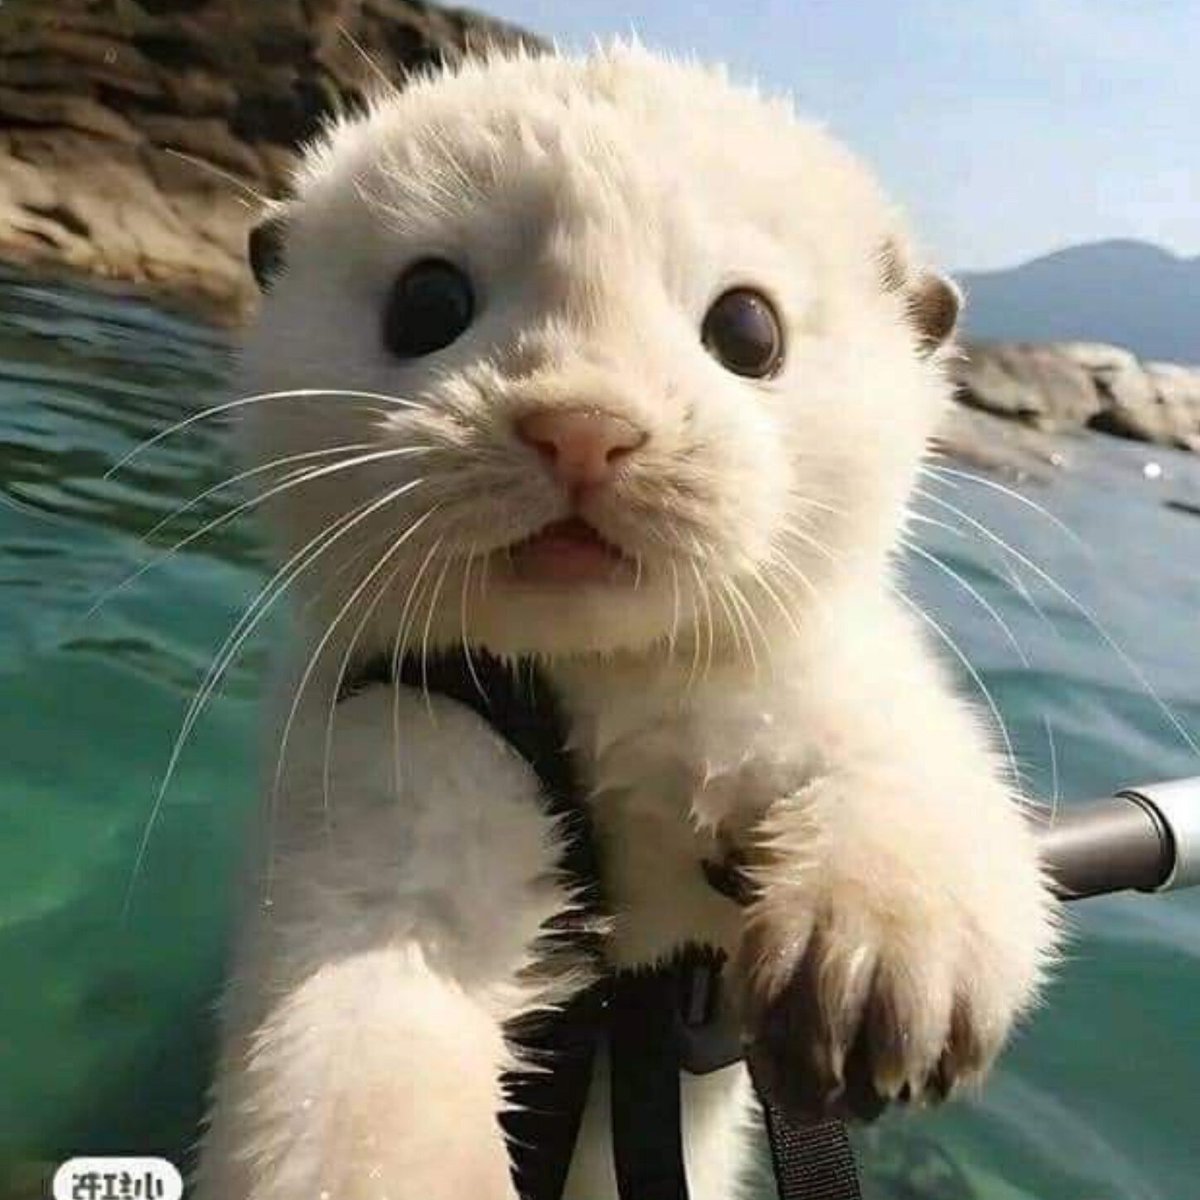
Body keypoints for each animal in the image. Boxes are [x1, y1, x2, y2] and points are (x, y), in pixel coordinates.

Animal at [194, 43, 1060, 1200]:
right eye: (427, 299)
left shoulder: (827, 672)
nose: (581, 428)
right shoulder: (392, 734)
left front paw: (881, 963)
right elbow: (369, 1021)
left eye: (749, 328)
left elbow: (919, 763)